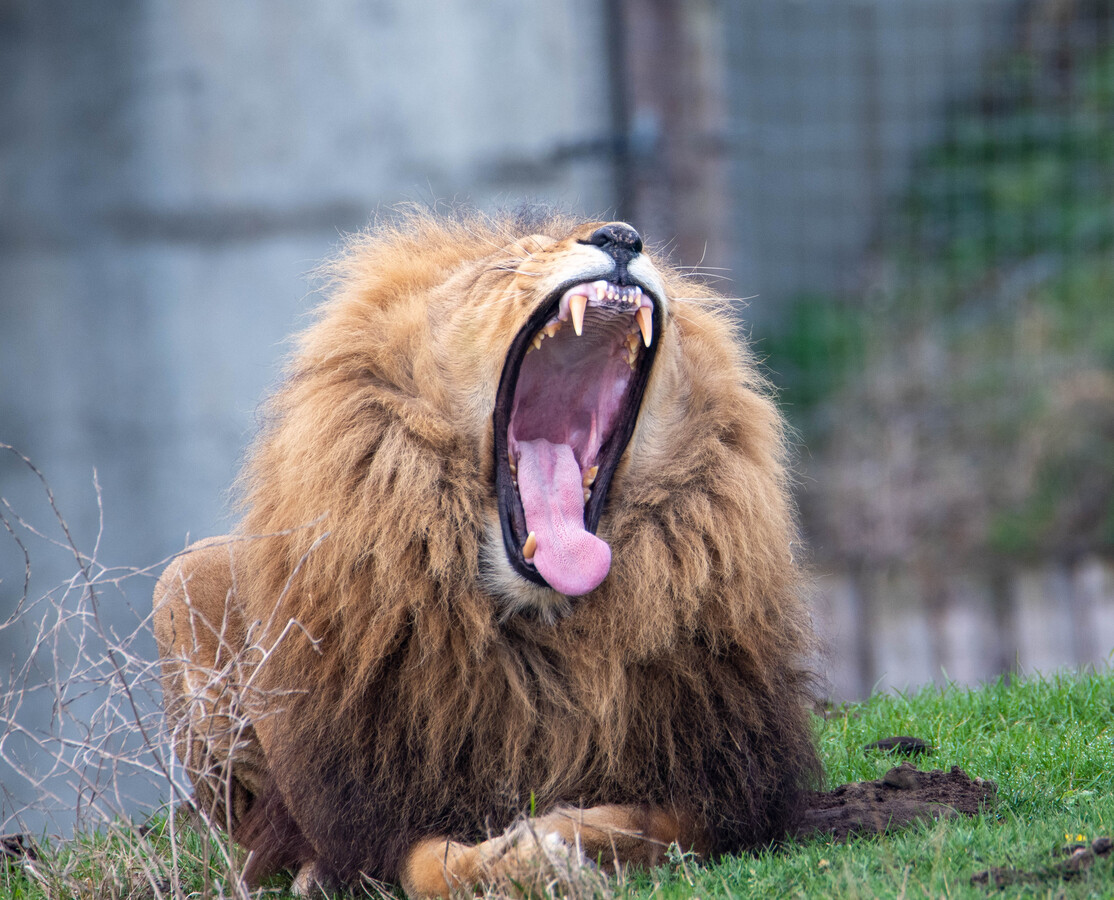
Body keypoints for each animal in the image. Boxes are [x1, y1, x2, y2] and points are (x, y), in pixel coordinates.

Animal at [153, 209, 822, 897]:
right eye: (509, 266)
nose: (620, 237)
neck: (544, 632)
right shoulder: (382, 820)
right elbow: (431, 867)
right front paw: (528, 860)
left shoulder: (725, 786)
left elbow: (644, 824)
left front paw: (559, 844)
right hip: (181, 578)